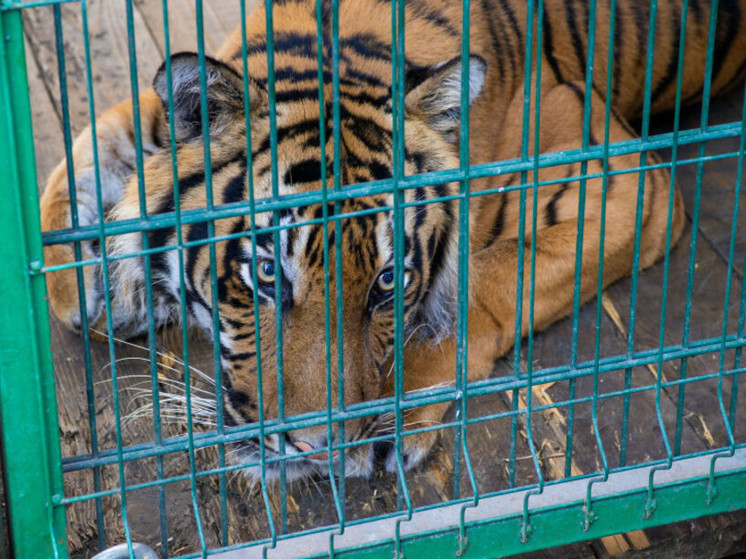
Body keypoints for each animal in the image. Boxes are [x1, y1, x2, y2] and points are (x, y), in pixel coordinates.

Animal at [40, 0, 744, 482]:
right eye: (266, 274)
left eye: (387, 284)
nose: (314, 449)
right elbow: (82, 163)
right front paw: (97, 284)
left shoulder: (620, 174)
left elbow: (490, 278)